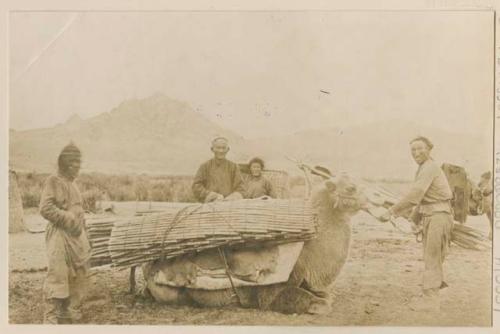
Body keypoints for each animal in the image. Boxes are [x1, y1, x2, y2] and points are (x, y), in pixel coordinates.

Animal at [142, 174, 368, 314]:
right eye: (351, 188)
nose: (373, 200)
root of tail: (148, 267)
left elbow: (327, 295)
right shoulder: (272, 292)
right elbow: (319, 303)